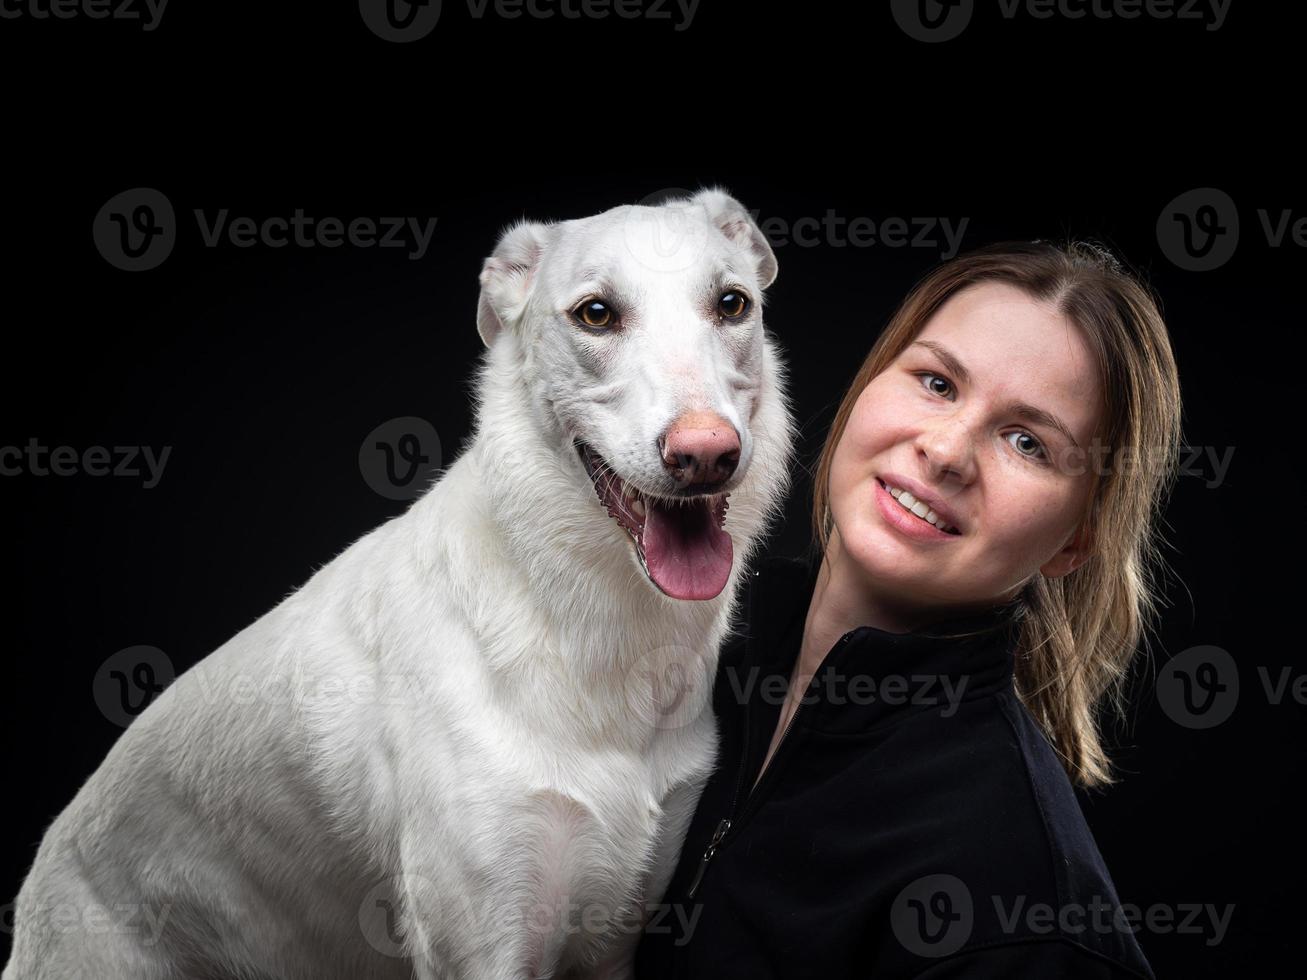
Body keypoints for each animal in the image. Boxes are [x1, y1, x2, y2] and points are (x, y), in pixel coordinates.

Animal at [2, 188, 794, 977]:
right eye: (596, 313)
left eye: (732, 304)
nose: (705, 454)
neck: (583, 622)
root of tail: (43, 866)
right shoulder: (483, 949)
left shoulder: (612, 945)